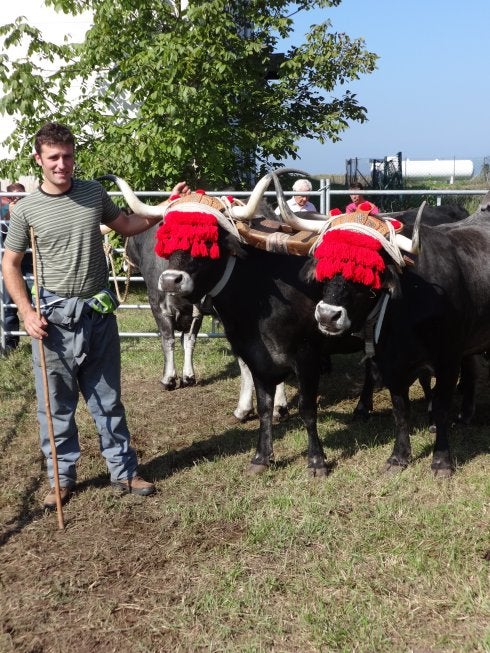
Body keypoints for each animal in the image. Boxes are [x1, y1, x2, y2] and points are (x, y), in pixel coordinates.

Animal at [292, 191, 490, 476]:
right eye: (324, 263)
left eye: (369, 271)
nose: (327, 315)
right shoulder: (391, 364)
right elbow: (401, 410)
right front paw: (399, 456)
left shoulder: (448, 360)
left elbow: (441, 408)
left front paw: (441, 460)